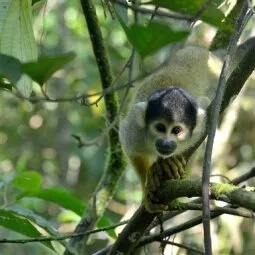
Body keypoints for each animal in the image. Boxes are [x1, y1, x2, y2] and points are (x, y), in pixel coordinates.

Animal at [118, 46, 224, 213]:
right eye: (160, 128)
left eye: (176, 130)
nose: (166, 143)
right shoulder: (135, 131)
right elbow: (132, 151)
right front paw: (147, 191)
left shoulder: (197, 131)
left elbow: (198, 142)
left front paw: (171, 163)